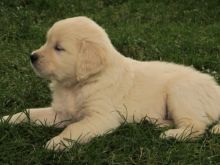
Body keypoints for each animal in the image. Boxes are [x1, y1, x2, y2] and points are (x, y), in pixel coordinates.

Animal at [1, 16, 220, 151]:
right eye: (47, 42)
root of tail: (215, 88)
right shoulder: (61, 113)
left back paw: (171, 134)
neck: (77, 85)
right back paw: (155, 123)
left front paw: (57, 142)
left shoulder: (101, 116)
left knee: (197, 127)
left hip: (180, 92)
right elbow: (30, 113)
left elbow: (74, 128)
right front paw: (7, 119)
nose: (32, 56)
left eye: (59, 48)